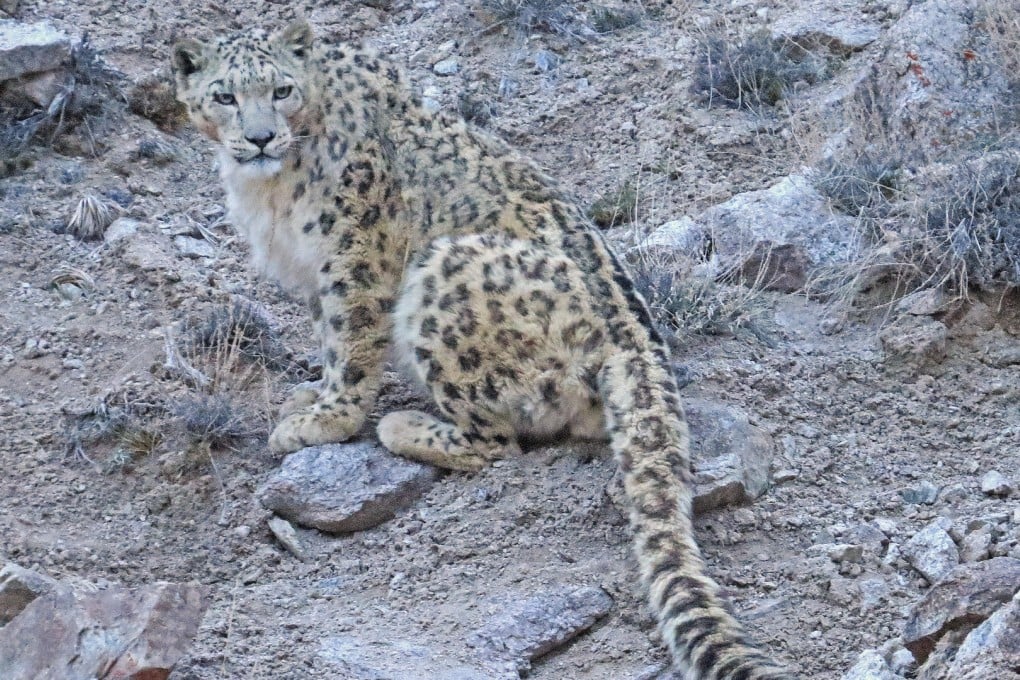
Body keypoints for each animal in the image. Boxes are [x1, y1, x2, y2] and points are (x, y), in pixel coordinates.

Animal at [172, 20, 790, 680]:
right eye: (224, 96)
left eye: (281, 90)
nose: (260, 137)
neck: (270, 192)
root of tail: (638, 342)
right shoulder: (314, 271)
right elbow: (325, 336)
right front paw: (310, 393)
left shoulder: (356, 255)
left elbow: (351, 340)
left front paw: (324, 420)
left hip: (444, 274)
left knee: (498, 439)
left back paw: (404, 424)